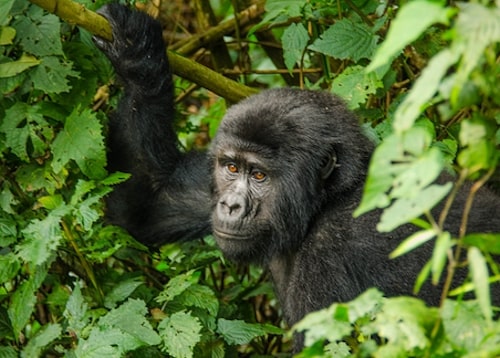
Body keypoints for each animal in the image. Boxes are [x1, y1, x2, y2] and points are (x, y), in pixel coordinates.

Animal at [94, 2, 500, 350]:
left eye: (259, 176)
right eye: (231, 168)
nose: (231, 205)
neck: (327, 200)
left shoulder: (330, 256)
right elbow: (147, 201)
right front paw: (136, 54)